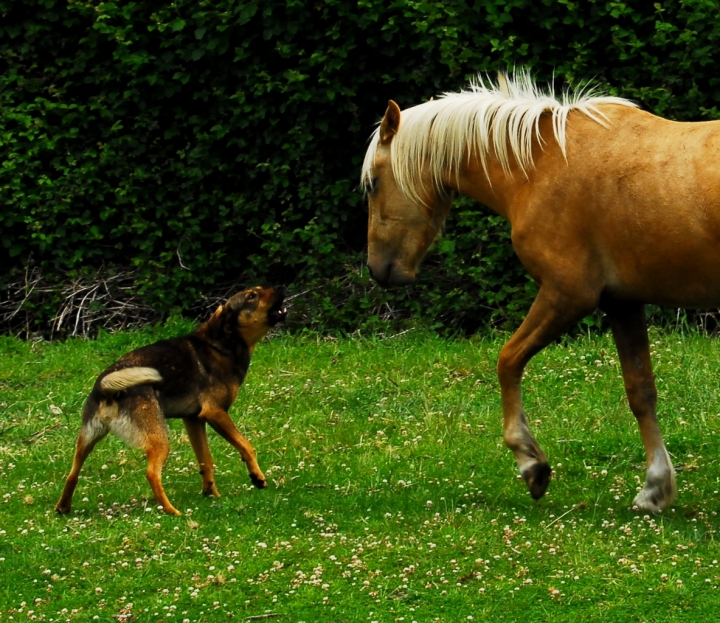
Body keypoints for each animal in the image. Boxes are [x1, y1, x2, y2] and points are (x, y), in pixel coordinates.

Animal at [54, 286, 288, 516]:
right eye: (252, 296)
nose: (281, 287)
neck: (223, 342)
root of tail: (107, 387)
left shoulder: (194, 420)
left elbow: (206, 459)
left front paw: (211, 493)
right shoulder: (215, 413)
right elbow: (246, 445)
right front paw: (257, 477)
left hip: (88, 438)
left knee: (72, 474)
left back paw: (63, 507)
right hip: (159, 438)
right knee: (151, 473)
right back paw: (171, 510)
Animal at [362, 70, 720, 516]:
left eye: (373, 184)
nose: (377, 269)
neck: (540, 165)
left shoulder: (567, 295)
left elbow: (507, 360)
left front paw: (531, 463)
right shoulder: (622, 303)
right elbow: (641, 393)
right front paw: (655, 487)